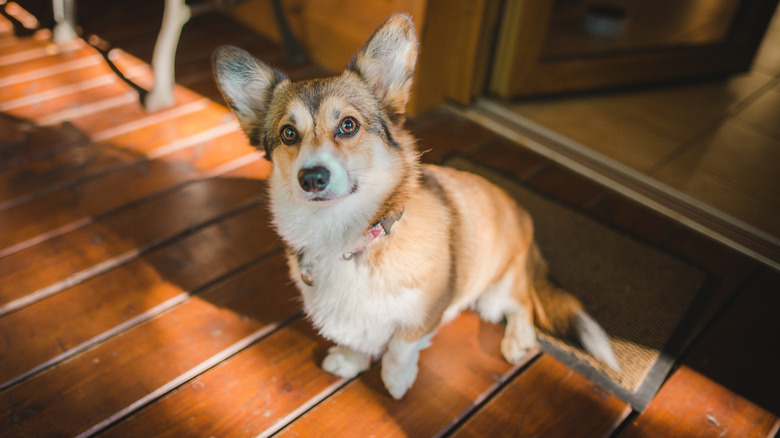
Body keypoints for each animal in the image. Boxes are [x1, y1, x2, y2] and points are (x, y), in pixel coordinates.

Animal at [212, 13, 616, 398]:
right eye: (288, 133)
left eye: (348, 125)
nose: (311, 178)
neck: (344, 238)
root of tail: (522, 215)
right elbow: (358, 340)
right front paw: (350, 360)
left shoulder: (422, 314)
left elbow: (399, 347)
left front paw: (395, 380)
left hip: (497, 292)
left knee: (523, 304)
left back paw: (517, 340)